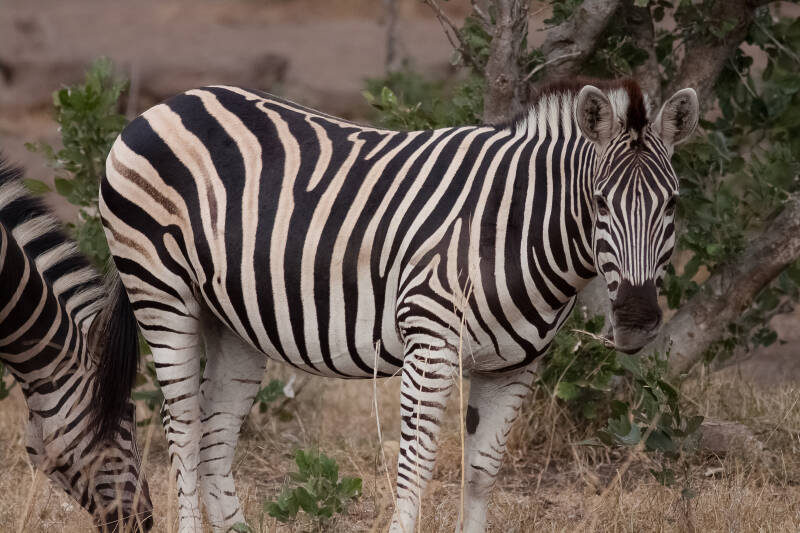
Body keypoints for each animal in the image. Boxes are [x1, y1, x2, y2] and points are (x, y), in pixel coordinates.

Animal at [91, 78, 698, 533]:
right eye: (599, 203)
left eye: (671, 204)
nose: (638, 320)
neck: (510, 229)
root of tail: (169, 102)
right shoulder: (430, 344)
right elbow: (416, 468)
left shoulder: (516, 367)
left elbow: (481, 471)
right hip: (163, 293)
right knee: (183, 430)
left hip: (233, 323)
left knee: (214, 439)